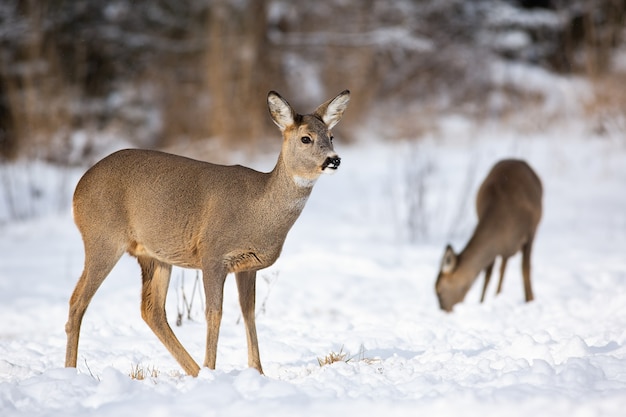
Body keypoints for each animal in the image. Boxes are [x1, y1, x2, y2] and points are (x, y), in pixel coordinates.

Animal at [65, 89, 348, 376]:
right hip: (103, 238)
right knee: (78, 302)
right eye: (306, 138)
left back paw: (193, 371)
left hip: (154, 256)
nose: (334, 159)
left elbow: (248, 312)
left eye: (331, 136)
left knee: (151, 310)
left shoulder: (248, 266)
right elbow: (214, 312)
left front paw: (257, 371)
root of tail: (77, 191)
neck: (258, 211)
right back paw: (71, 370)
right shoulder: (212, 254)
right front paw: (212, 369)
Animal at [434, 159, 540, 312]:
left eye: (439, 290)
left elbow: (525, 270)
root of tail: (516, 160)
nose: (444, 311)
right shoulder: (497, 247)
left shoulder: (530, 233)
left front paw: (530, 300)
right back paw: (498, 295)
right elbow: (488, 275)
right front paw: (482, 302)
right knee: (502, 266)